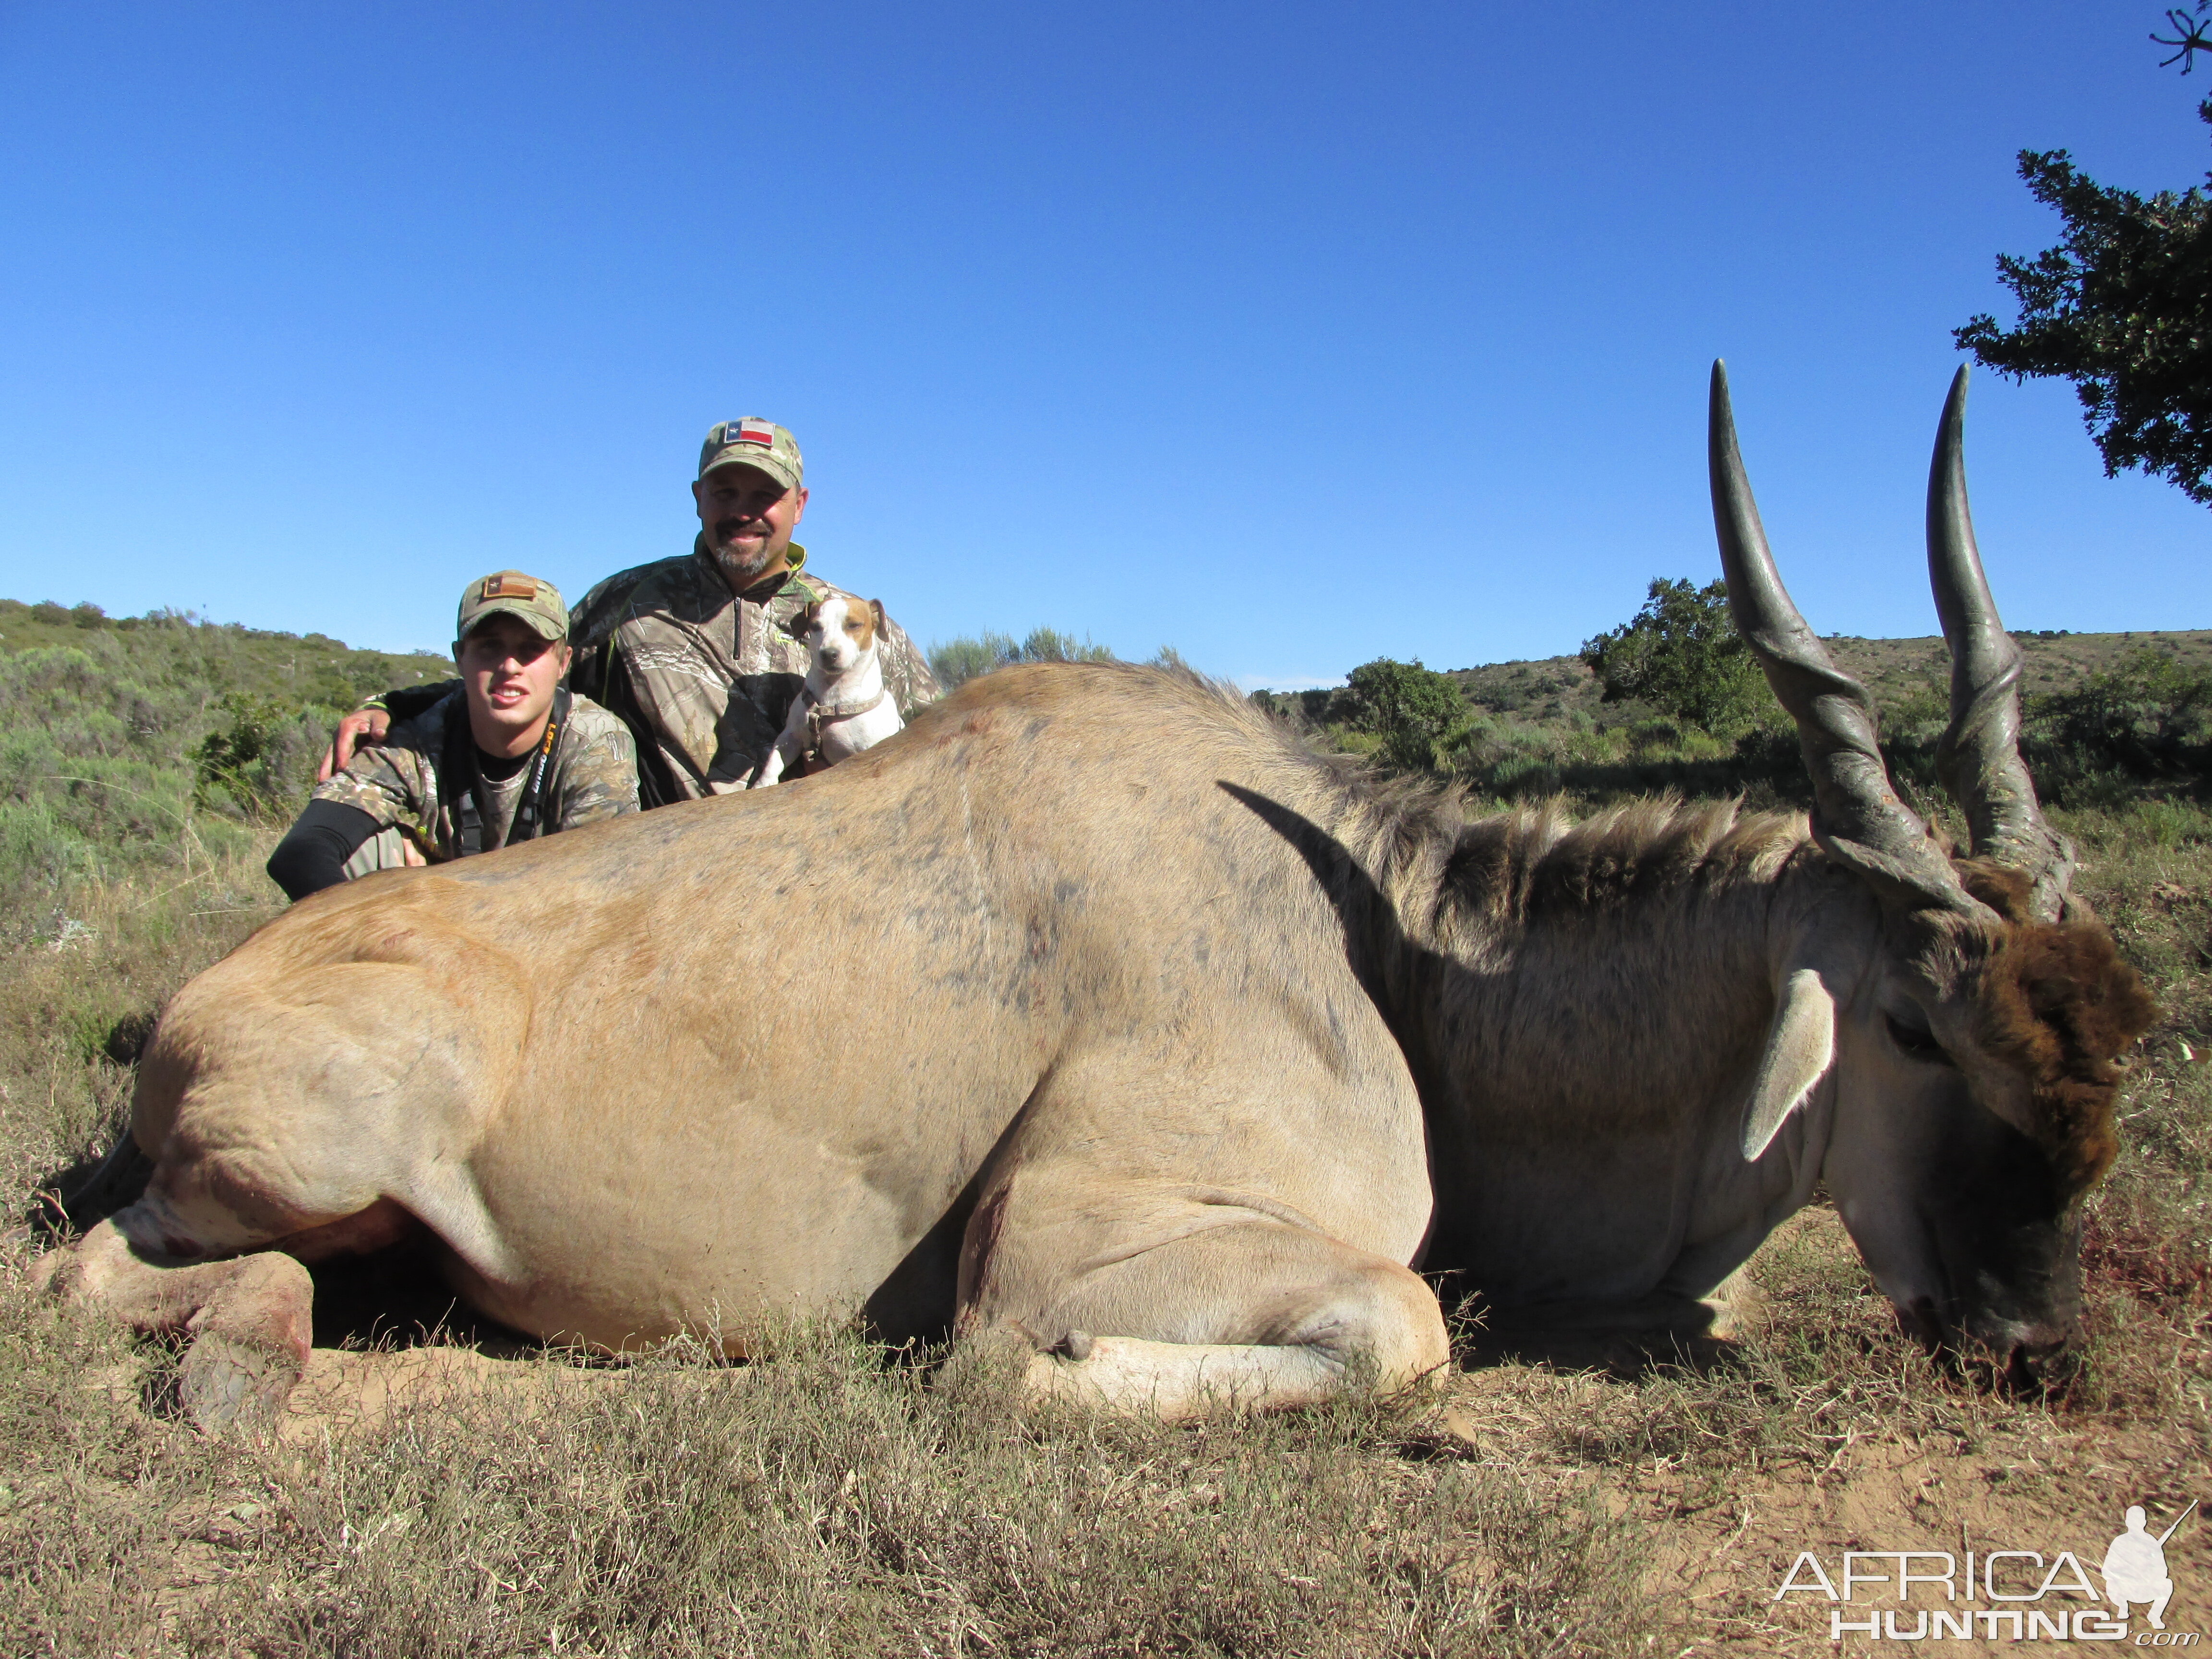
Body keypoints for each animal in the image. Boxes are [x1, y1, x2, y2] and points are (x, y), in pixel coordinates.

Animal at [752, 592, 907, 787]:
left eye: (854, 625)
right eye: (815, 626)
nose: (829, 654)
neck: (834, 698)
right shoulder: (790, 738)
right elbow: (773, 764)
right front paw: (762, 785)